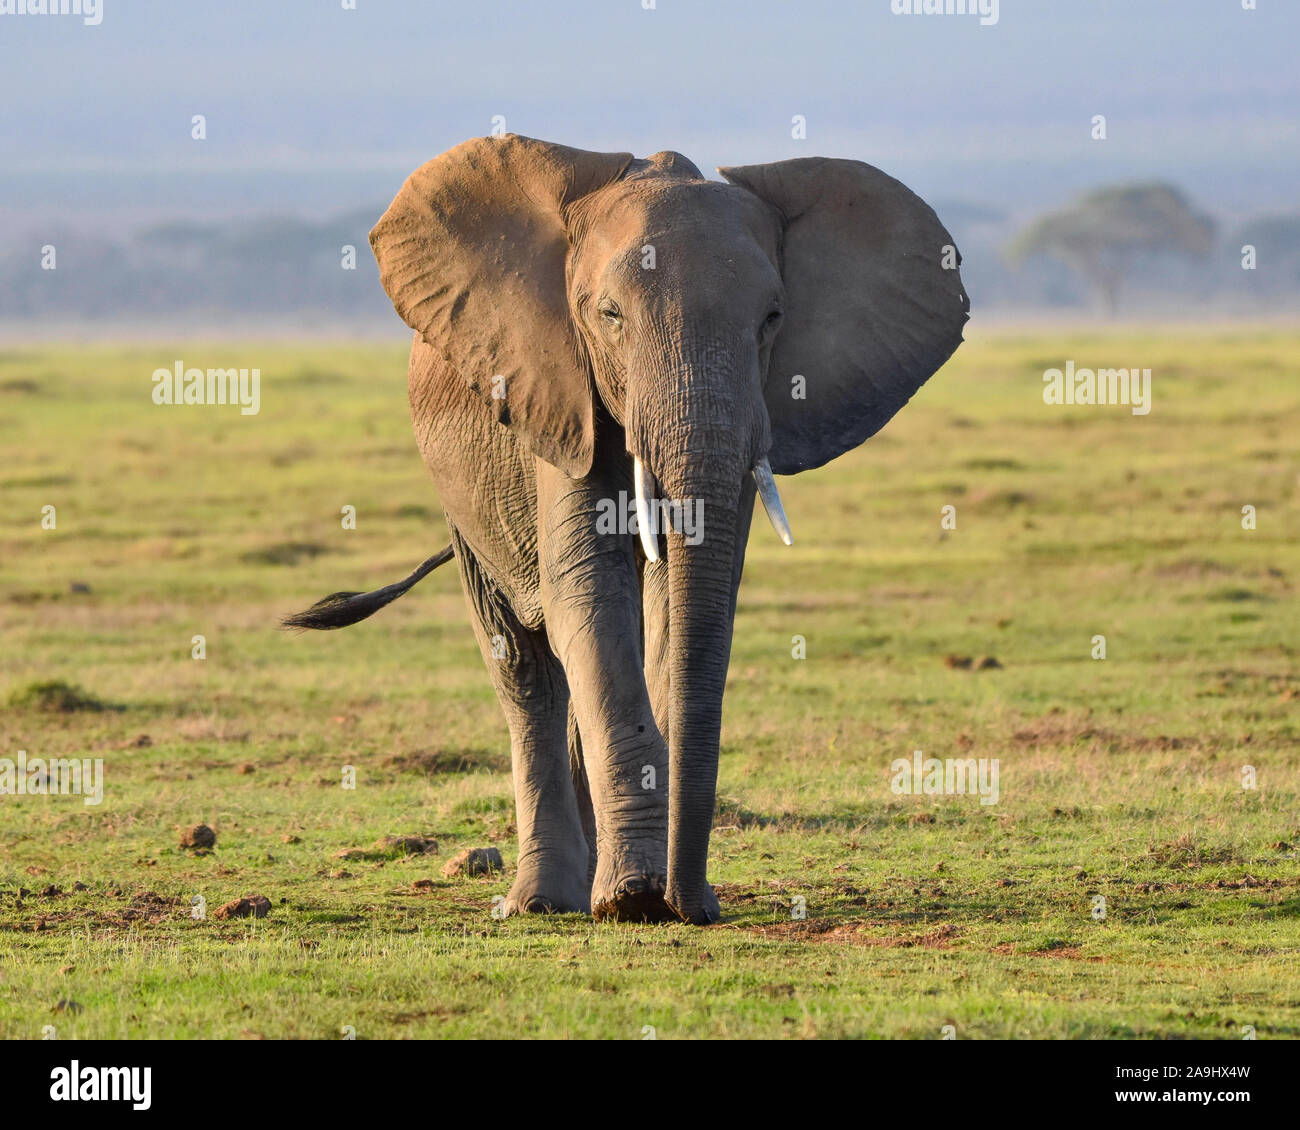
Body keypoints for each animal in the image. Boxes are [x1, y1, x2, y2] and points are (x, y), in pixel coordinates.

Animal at [287, 131, 977, 925]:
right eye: (609, 315)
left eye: (773, 318)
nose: (695, 904)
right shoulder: (554, 390)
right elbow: (589, 594)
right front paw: (635, 901)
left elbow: (682, 605)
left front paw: (656, 895)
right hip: (462, 492)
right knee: (523, 665)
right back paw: (545, 900)